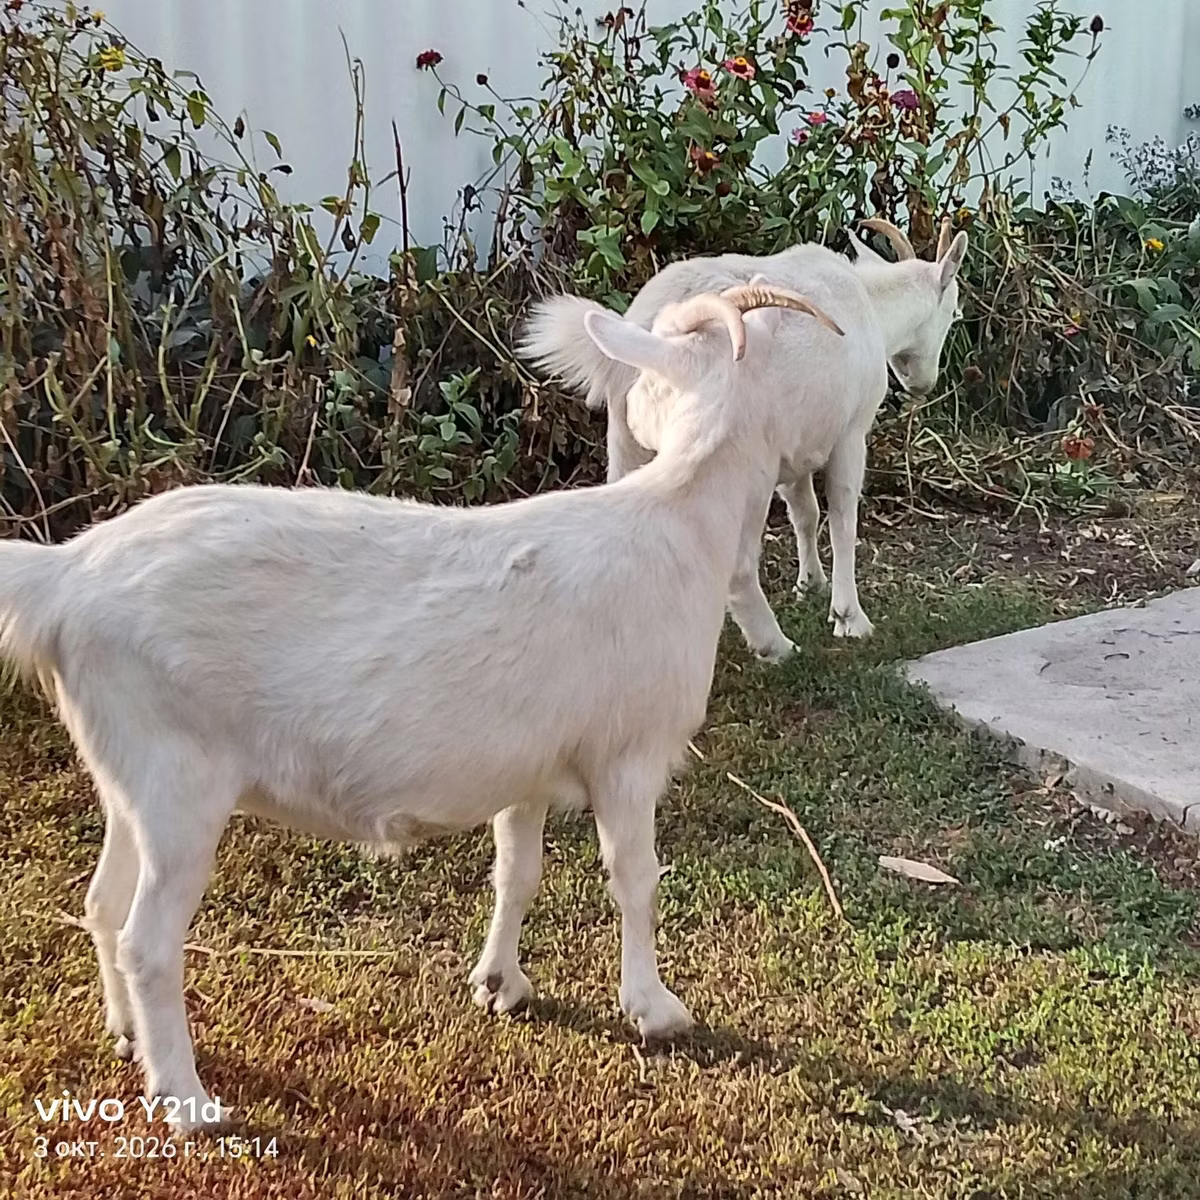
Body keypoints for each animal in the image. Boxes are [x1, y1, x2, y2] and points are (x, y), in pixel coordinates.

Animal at [0, 284, 842, 1132]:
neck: (677, 523)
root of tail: (65, 576)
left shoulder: (528, 771)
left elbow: (517, 873)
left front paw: (501, 983)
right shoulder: (628, 758)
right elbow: (635, 878)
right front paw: (655, 1009)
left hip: (129, 776)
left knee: (102, 904)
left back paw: (124, 1037)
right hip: (179, 782)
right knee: (147, 941)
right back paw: (187, 1099)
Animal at [521, 218, 969, 656]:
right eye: (951, 312)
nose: (922, 384)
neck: (871, 306)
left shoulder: (794, 444)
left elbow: (805, 512)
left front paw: (810, 584)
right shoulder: (849, 430)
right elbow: (843, 516)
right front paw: (849, 618)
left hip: (627, 443)